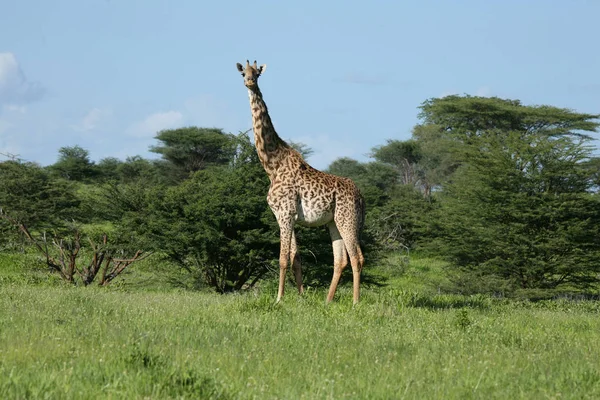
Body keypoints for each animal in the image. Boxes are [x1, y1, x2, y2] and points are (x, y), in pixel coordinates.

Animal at [234, 59, 366, 304]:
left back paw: (355, 302)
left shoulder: (285, 213)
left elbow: (283, 258)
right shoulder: (287, 216)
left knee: (356, 258)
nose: (249, 82)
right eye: (242, 73)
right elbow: (296, 257)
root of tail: (362, 197)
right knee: (341, 259)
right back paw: (327, 300)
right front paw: (301, 297)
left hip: (348, 219)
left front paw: (278, 299)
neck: (272, 165)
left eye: (257, 73)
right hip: (333, 222)